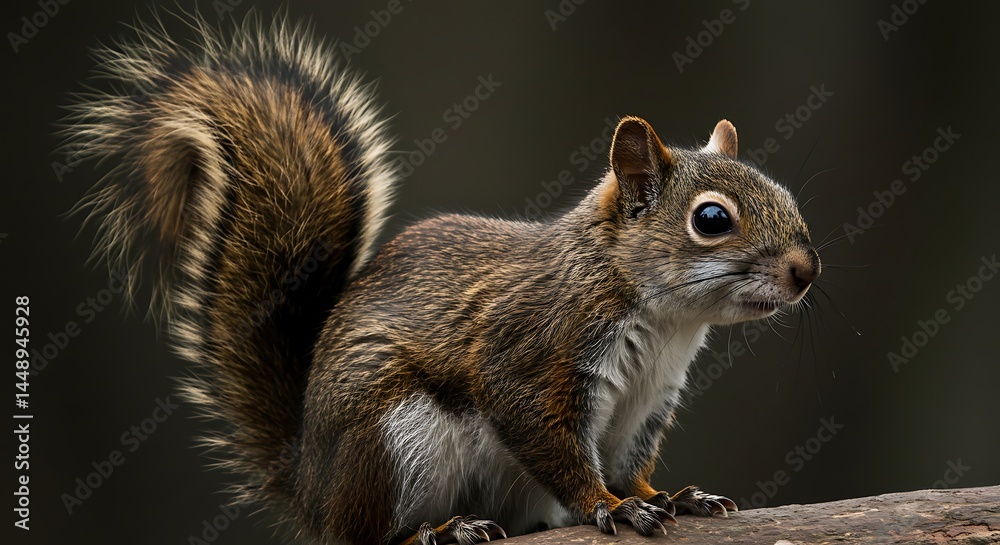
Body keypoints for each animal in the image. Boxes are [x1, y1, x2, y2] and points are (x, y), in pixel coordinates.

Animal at [66, 14, 820, 545]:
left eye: (784, 192)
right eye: (711, 219)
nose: (806, 271)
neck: (665, 321)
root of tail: (311, 485)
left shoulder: (646, 401)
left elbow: (627, 462)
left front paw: (669, 495)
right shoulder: (532, 353)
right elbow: (554, 444)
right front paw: (612, 506)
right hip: (395, 436)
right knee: (367, 535)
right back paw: (439, 530)